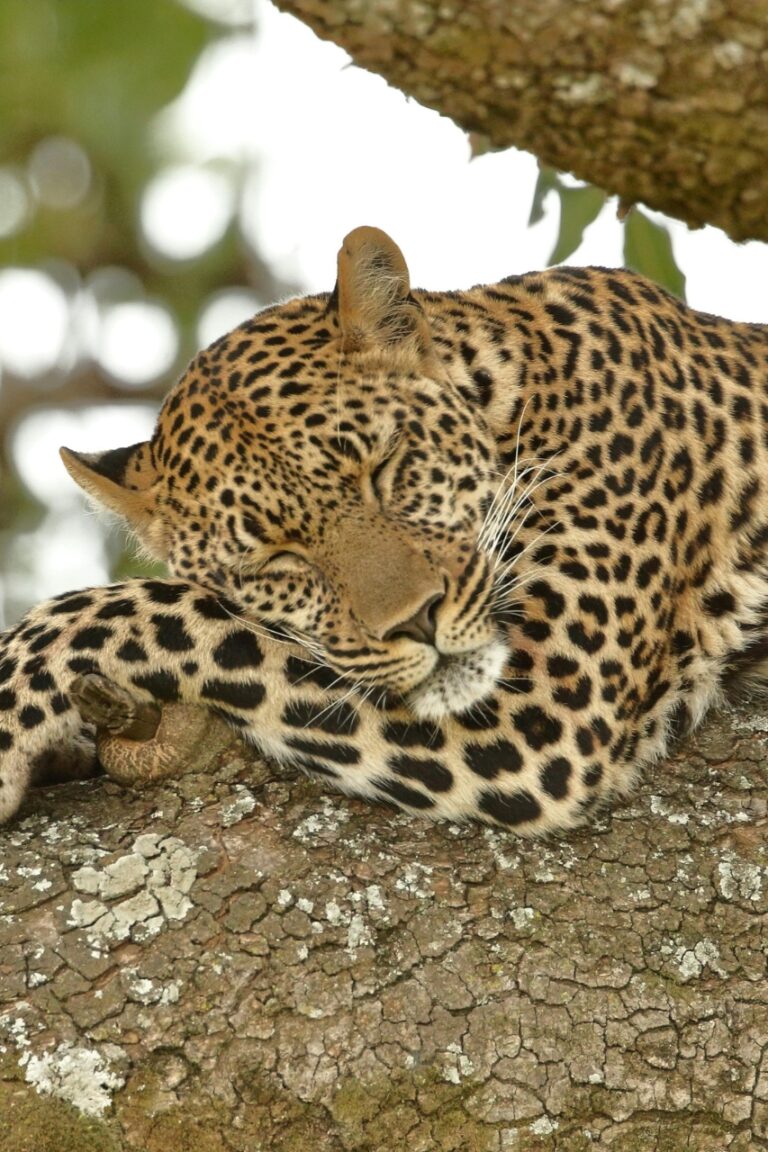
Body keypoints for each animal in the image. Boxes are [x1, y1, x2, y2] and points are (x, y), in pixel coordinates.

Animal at [1, 224, 767, 834]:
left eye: (386, 466)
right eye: (274, 561)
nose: (419, 620)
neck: (521, 393)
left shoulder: (549, 710)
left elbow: (163, 610)